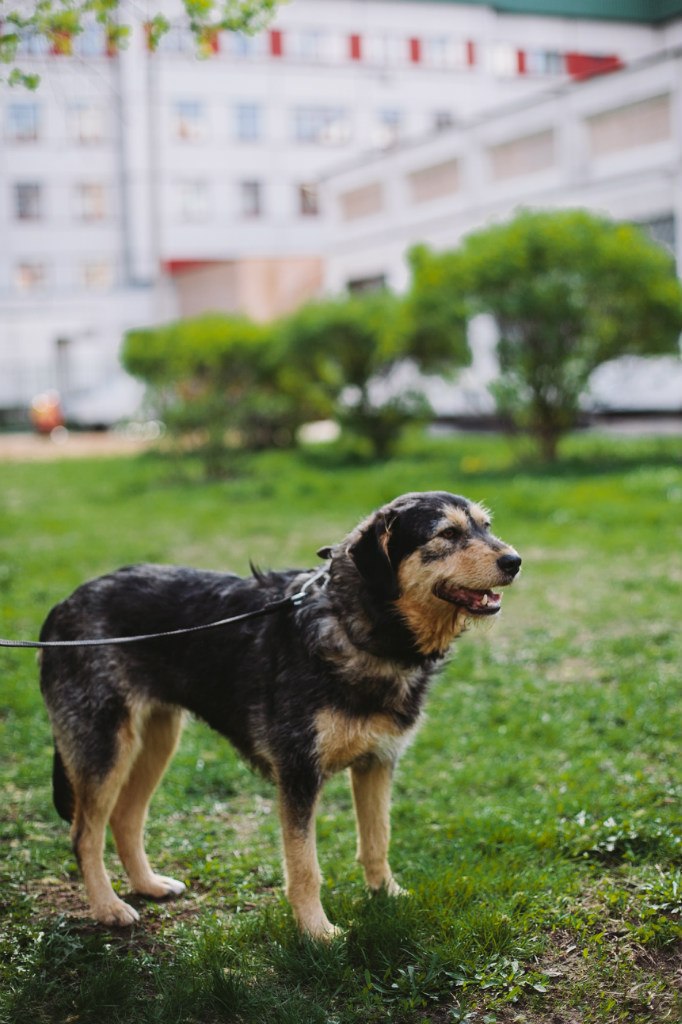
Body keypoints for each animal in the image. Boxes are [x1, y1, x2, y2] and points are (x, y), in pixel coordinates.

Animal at [39, 491, 518, 937]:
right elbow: (305, 867)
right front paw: (317, 932)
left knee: (125, 818)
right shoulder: (299, 773)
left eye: (487, 526)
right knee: (84, 834)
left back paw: (148, 885)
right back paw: (108, 907)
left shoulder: (378, 762)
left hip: (158, 739)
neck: (356, 627)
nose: (515, 561)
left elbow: (377, 839)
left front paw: (388, 895)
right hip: (104, 746)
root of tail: (60, 608)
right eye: (447, 534)